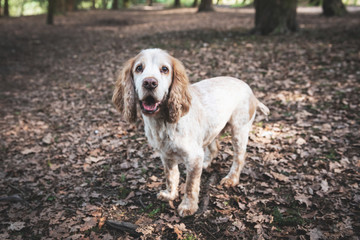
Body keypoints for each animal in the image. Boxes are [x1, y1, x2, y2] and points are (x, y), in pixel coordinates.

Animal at [113, 48, 270, 218]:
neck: (163, 122)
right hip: (211, 129)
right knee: (214, 148)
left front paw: (188, 206)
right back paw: (206, 164)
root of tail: (250, 90)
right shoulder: (166, 156)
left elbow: (190, 185)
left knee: (239, 158)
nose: (149, 83)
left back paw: (231, 179)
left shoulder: (193, 156)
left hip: (239, 130)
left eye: (165, 69)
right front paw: (170, 194)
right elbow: (171, 177)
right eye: (139, 68)